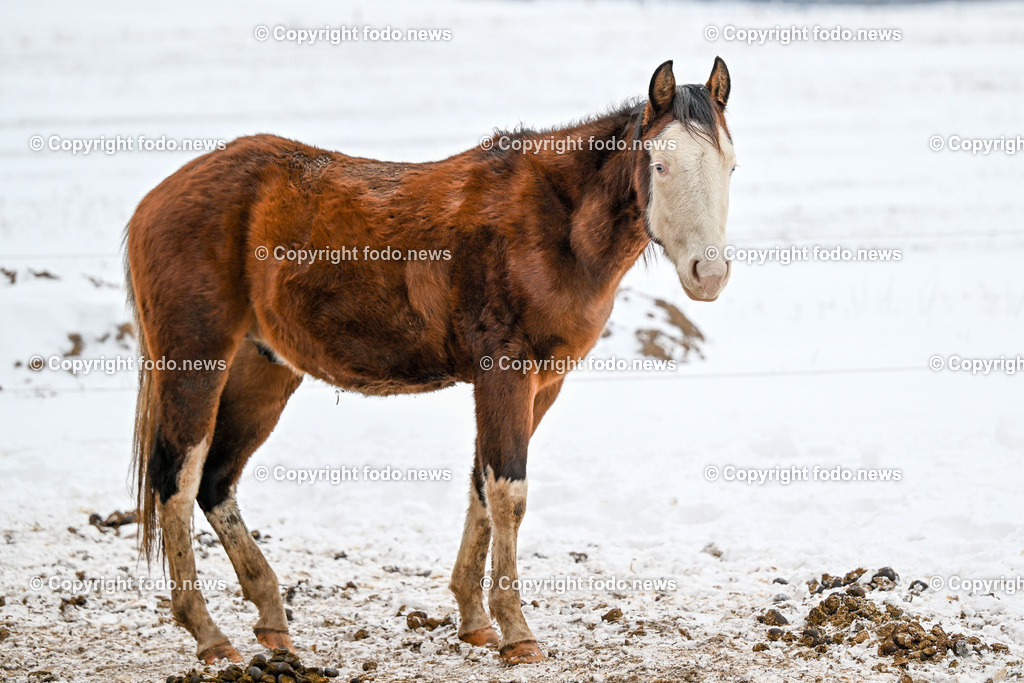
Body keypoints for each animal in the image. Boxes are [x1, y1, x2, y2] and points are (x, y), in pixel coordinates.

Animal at [125, 57, 735, 666]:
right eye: (660, 165)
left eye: (730, 165)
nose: (708, 274)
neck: (556, 225)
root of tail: (156, 199)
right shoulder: (504, 376)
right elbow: (508, 495)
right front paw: (517, 633)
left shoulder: (541, 386)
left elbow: (482, 489)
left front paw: (475, 621)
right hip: (196, 365)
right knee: (177, 482)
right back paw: (208, 632)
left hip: (264, 370)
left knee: (216, 483)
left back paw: (272, 619)